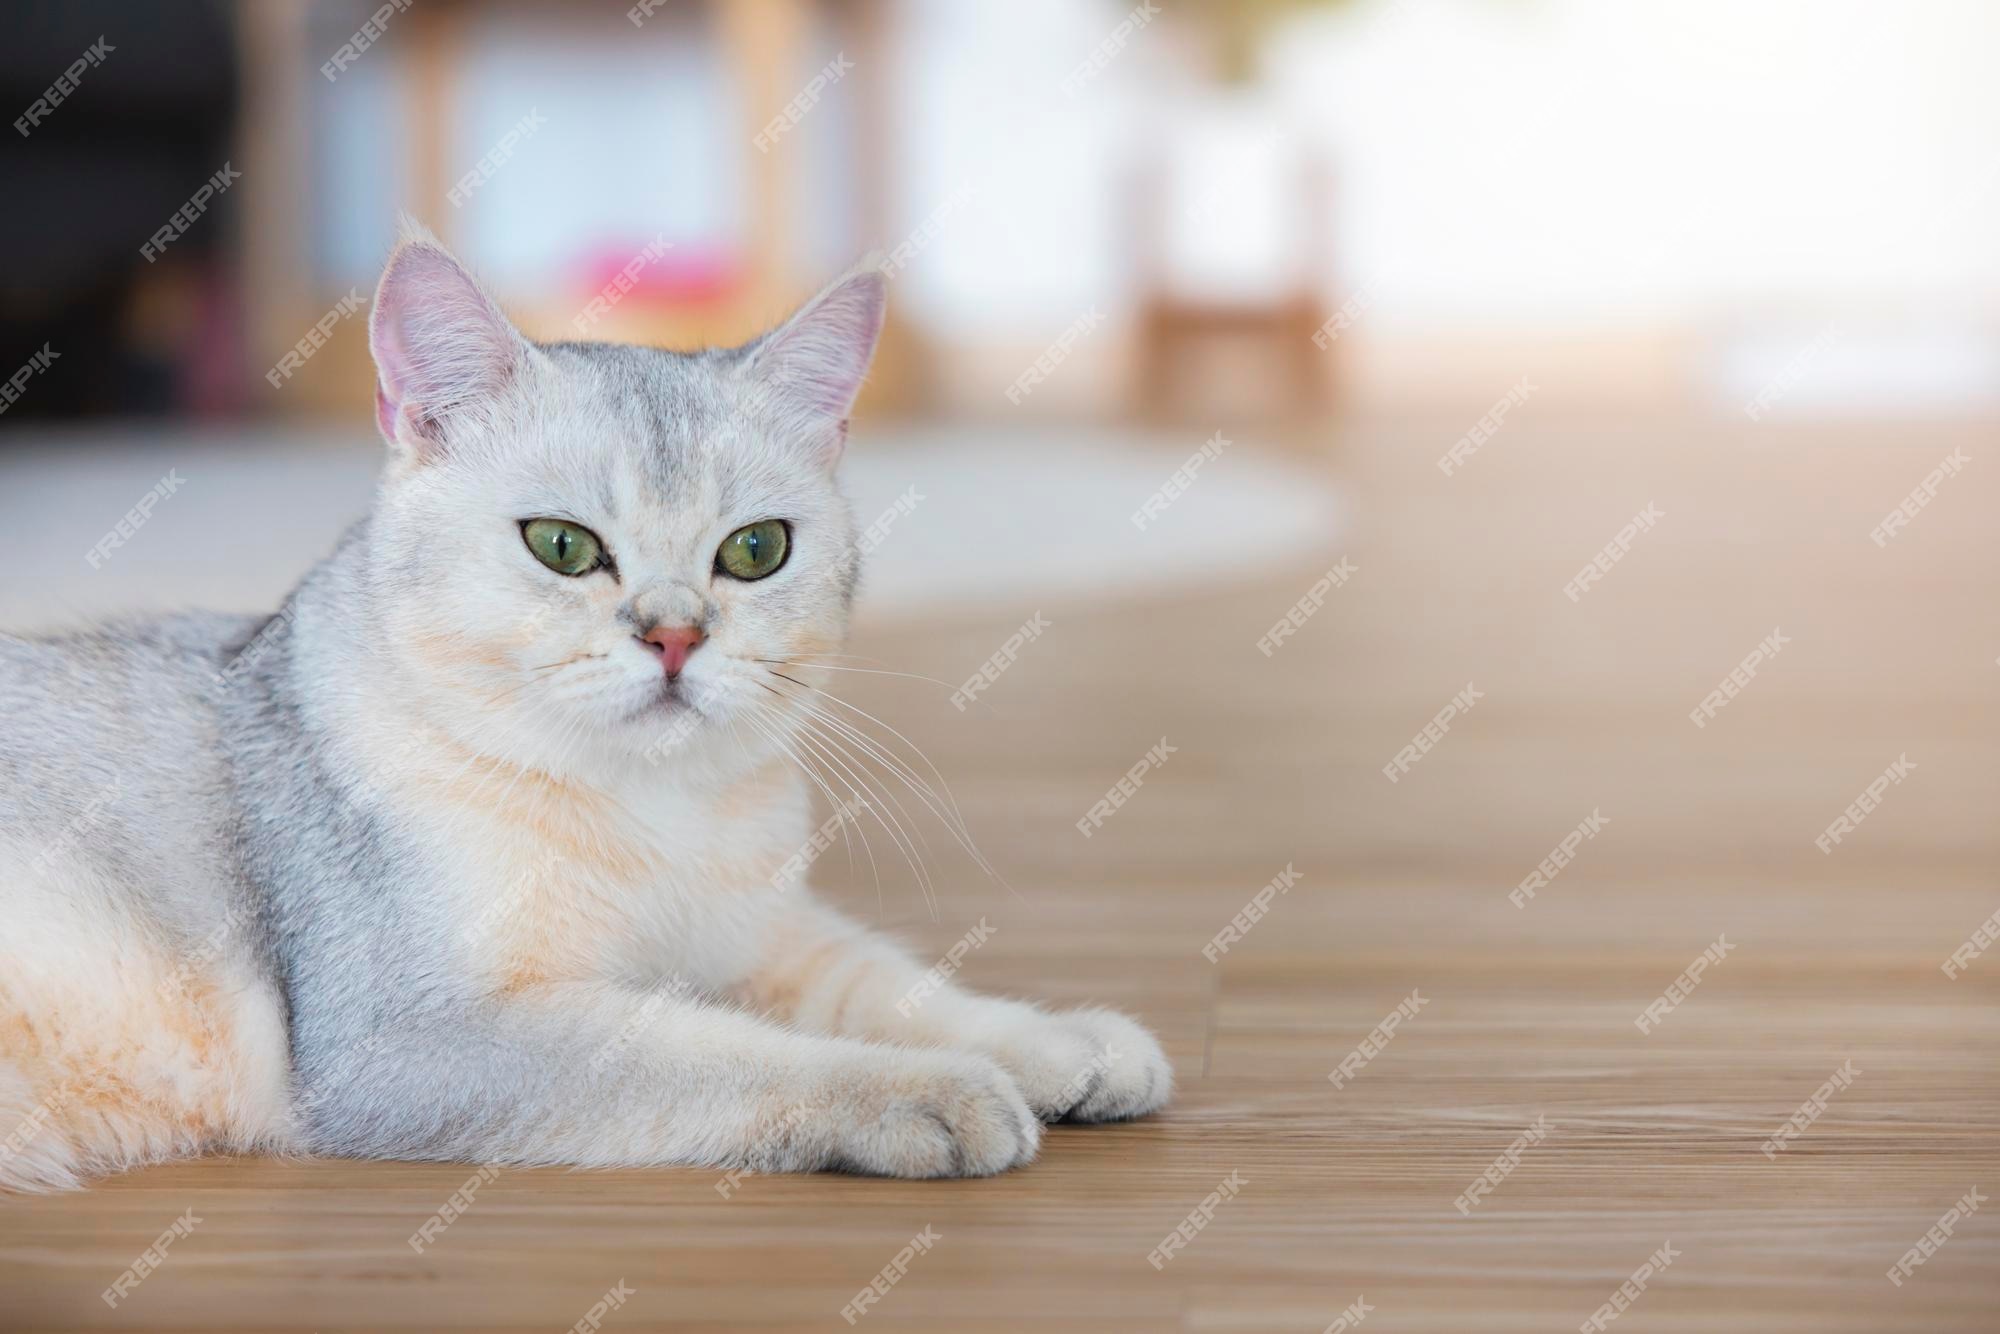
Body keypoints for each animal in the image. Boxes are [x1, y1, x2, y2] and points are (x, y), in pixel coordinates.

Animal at [0, 224, 1168, 1192]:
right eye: (561, 545)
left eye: (756, 550)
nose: (674, 635)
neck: (654, 815)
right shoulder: (411, 1038)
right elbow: (712, 1049)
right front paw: (927, 1088)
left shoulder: (755, 929)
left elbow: (877, 975)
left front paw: (1056, 1041)